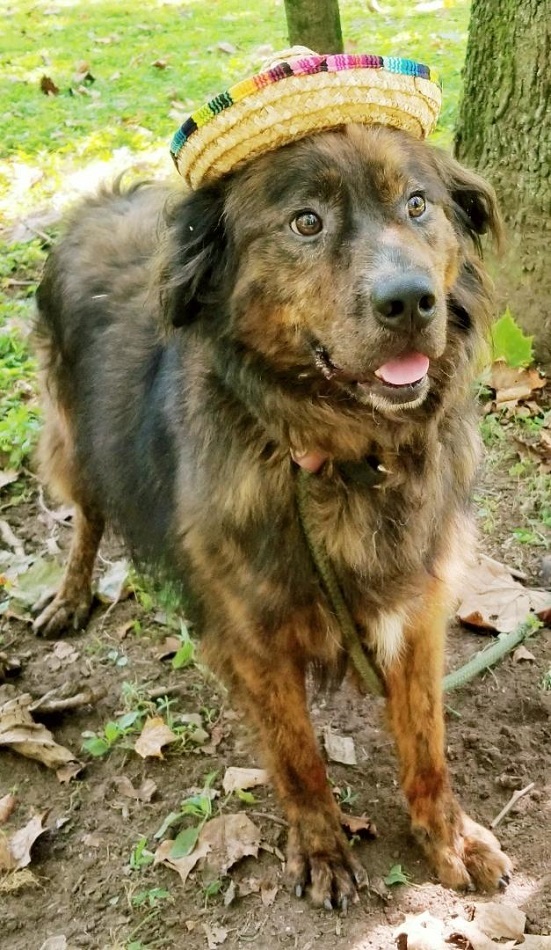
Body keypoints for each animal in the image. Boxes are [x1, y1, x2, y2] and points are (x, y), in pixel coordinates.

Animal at [33, 122, 512, 912]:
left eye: (417, 204)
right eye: (305, 223)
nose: (411, 301)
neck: (343, 457)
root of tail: (103, 198)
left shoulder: (417, 611)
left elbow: (426, 744)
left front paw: (448, 837)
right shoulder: (254, 639)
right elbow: (297, 755)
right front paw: (321, 848)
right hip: (73, 438)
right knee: (87, 516)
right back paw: (70, 596)